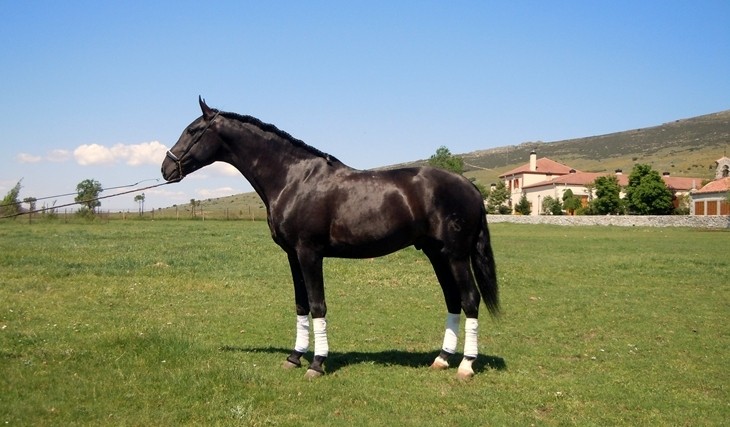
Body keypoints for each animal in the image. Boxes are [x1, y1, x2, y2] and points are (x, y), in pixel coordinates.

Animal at [161, 97, 499, 379]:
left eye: (193, 130)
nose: (166, 168)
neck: (293, 178)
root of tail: (469, 186)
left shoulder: (309, 253)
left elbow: (318, 305)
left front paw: (317, 363)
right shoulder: (292, 255)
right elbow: (301, 305)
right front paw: (294, 357)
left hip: (455, 256)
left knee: (470, 300)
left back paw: (466, 365)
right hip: (436, 254)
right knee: (453, 300)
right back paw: (442, 359)